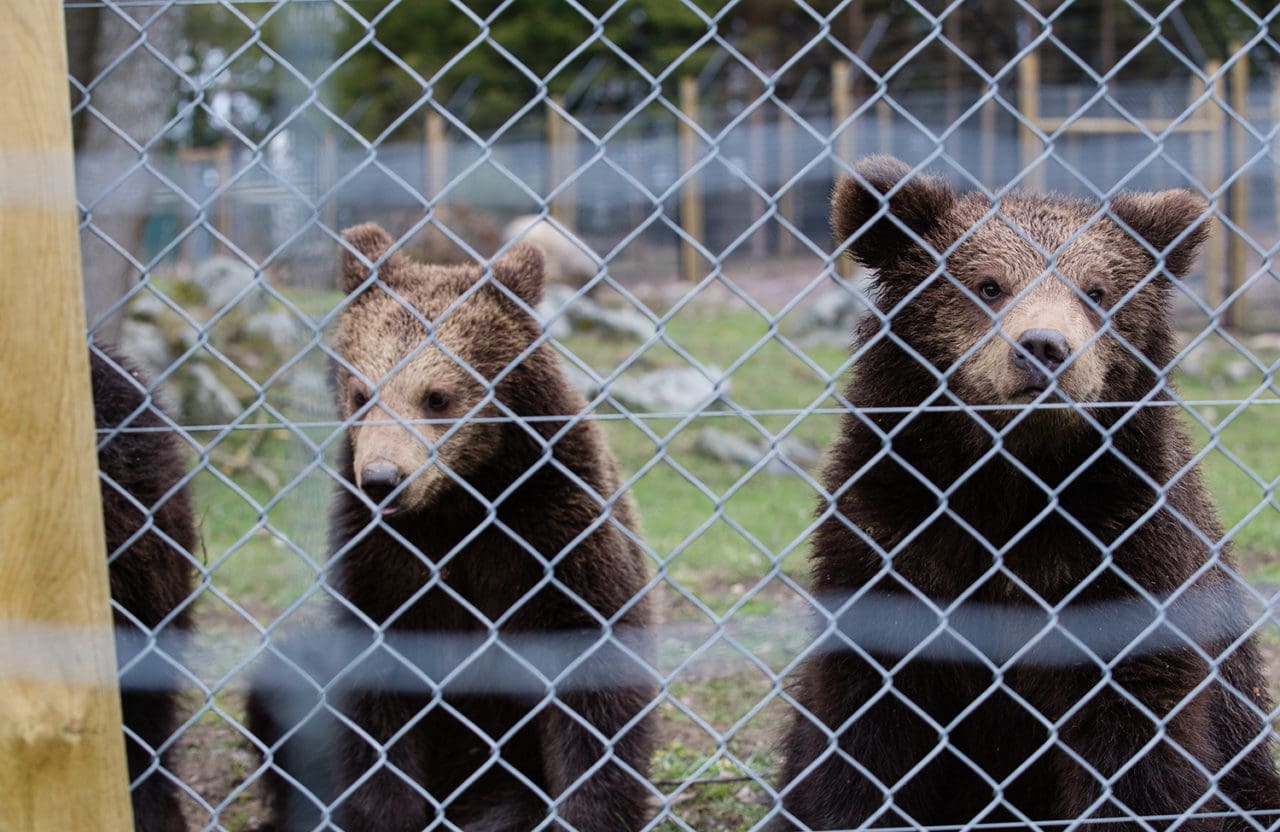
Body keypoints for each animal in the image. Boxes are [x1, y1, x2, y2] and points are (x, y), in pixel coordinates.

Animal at [245, 226, 655, 829]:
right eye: (361, 393)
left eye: (436, 396)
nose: (382, 479)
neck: (459, 503)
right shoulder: (382, 559)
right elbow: (374, 705)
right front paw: (383, 812)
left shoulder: (555, 530)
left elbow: (594, 687)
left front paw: (587, 811)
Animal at [773, 157, 1280, 829]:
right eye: (989, 285)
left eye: (1096, 290)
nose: (1044, 347)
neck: (1013, 481)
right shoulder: (894, 533)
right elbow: (869, 735)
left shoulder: (1128, 546)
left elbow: (1138, 738)